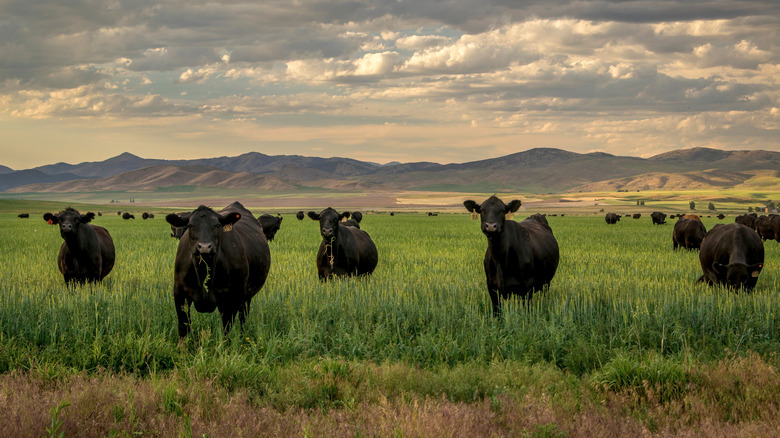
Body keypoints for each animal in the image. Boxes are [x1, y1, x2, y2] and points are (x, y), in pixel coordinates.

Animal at [166, 202, 272, 338]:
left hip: (246, 296)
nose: (204, 247)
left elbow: (227, 330)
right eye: (190, 225)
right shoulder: (180, 293)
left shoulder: (230, 299)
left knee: (243, 317)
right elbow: (183, 328)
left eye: (217, 225)